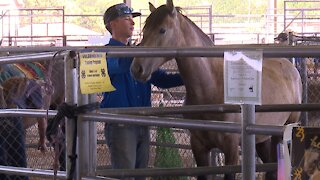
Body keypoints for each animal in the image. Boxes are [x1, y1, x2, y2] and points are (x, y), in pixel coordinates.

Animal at [130, 0, 302, 179]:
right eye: (144, 30)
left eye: (162, 30)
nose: (137, 69)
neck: (211, 85)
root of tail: (291, 67)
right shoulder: (198, 146)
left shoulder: (231, 148)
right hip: (262, 139)